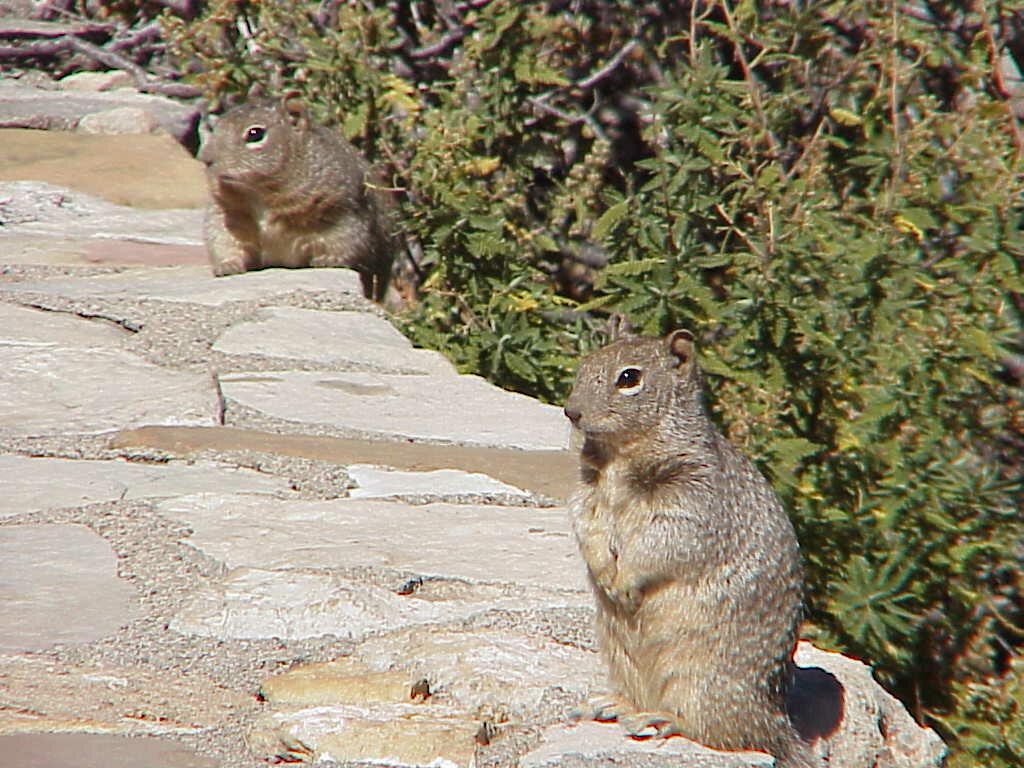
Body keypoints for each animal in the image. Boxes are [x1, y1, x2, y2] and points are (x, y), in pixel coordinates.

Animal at [197, 95, 393, 301]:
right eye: (215, 129)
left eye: (255, 134)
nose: (205, 158)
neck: (257, 192)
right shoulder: (225, 216)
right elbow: (224, 242)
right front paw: (227, 265)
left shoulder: (342, 213)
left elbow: (345, 243)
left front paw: (330, 259)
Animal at [565, 329, 819, 768]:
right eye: (587, 362)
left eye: (629, 378)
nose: (571, 412)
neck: (620, 457)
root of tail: (773, 720)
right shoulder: (588, 498)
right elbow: (588, 529)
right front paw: (605, 574)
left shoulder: (690, 504)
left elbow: (662, 546)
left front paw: (625, 582)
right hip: (622, 658)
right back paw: (615, 704)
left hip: (699, 678)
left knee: (723, 731)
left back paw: (660, 718)